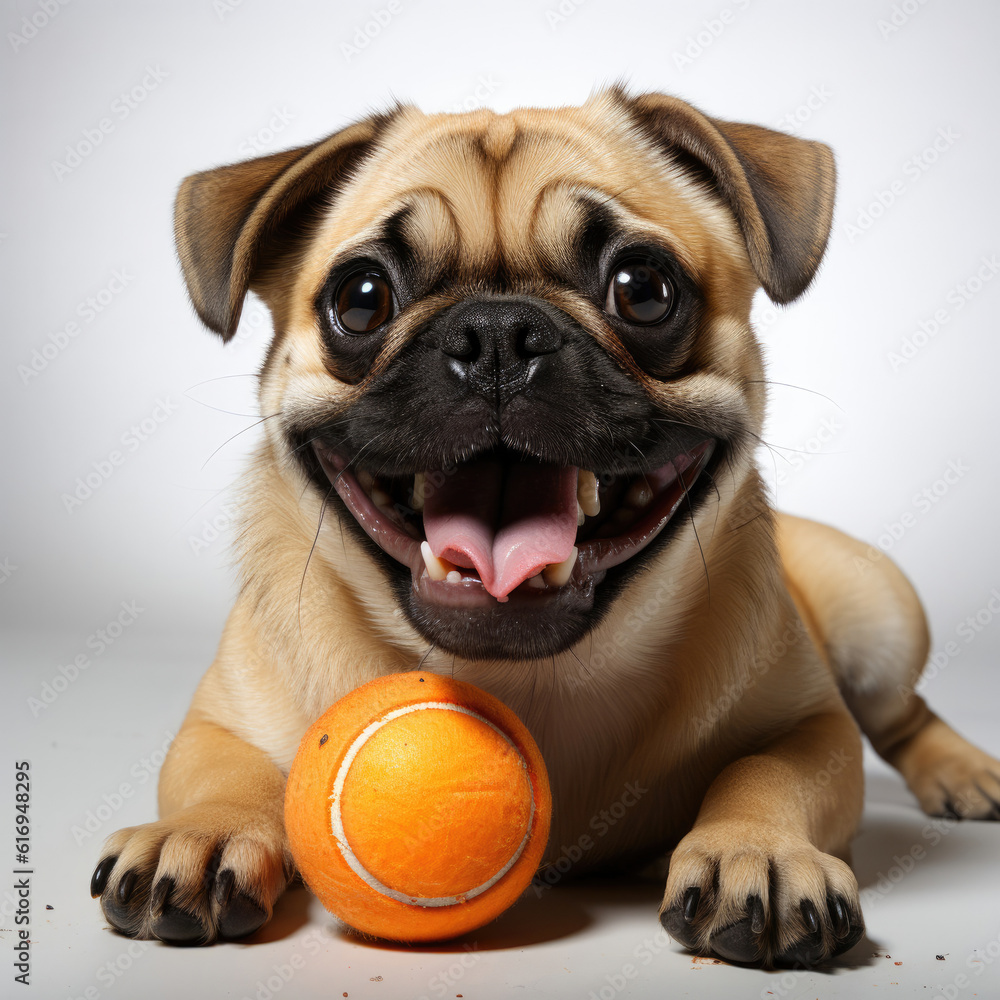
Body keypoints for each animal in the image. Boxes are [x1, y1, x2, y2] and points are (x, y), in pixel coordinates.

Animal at [90, 90, 996, 964]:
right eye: (361, 299)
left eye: (643, 288)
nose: (496, 334)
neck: (530, 679)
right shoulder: (217, 722)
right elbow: (223, 772)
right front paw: (202, 834)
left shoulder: (812, 726)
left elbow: (770, 772)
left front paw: (759, 851)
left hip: (881, 614)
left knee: (901, 713)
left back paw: (962, 774)